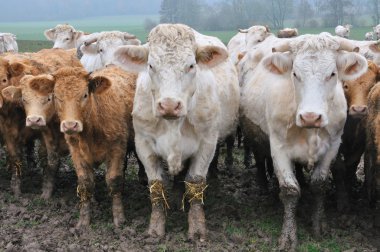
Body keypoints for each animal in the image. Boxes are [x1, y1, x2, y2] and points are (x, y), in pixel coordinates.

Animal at [0, 48, 81, 196]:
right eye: (24, 99)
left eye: (4, 79)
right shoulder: (8, 133)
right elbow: (15, 158)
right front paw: (16, 187)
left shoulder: (46, 133)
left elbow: (47, 159)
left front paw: (47, 187)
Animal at [31, 66, 136, 227]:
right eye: (56, 96)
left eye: (85, 95)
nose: (70, 125)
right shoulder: (76, 152)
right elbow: (85, 183)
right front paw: (84, 221)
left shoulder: (117, 148)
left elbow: (114, 180)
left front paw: (119, 219)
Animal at [113, 24, 239, 242]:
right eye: (151, 66)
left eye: (191, 65)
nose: (169, 105)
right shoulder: (143, 143)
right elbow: (156, 185)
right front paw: (156, 228)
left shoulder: (207, 143)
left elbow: (195, 182)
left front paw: (197, 228)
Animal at [240, 32, 368, 251]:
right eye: (295, 74)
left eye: (332, 74)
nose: (310, 117)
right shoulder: (278, 148)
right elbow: (290, 190)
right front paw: (289, 236)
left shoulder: (332, 147)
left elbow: (319, 184)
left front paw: (319, 226)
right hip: (253, 133)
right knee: (259, 157)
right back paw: (264, 188)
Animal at [332, 60, 380, 211]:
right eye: (346, 86)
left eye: (371, 86)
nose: (359, 109)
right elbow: (338, 169)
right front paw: (342, 201)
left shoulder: (360, 145)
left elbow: (351, 166)